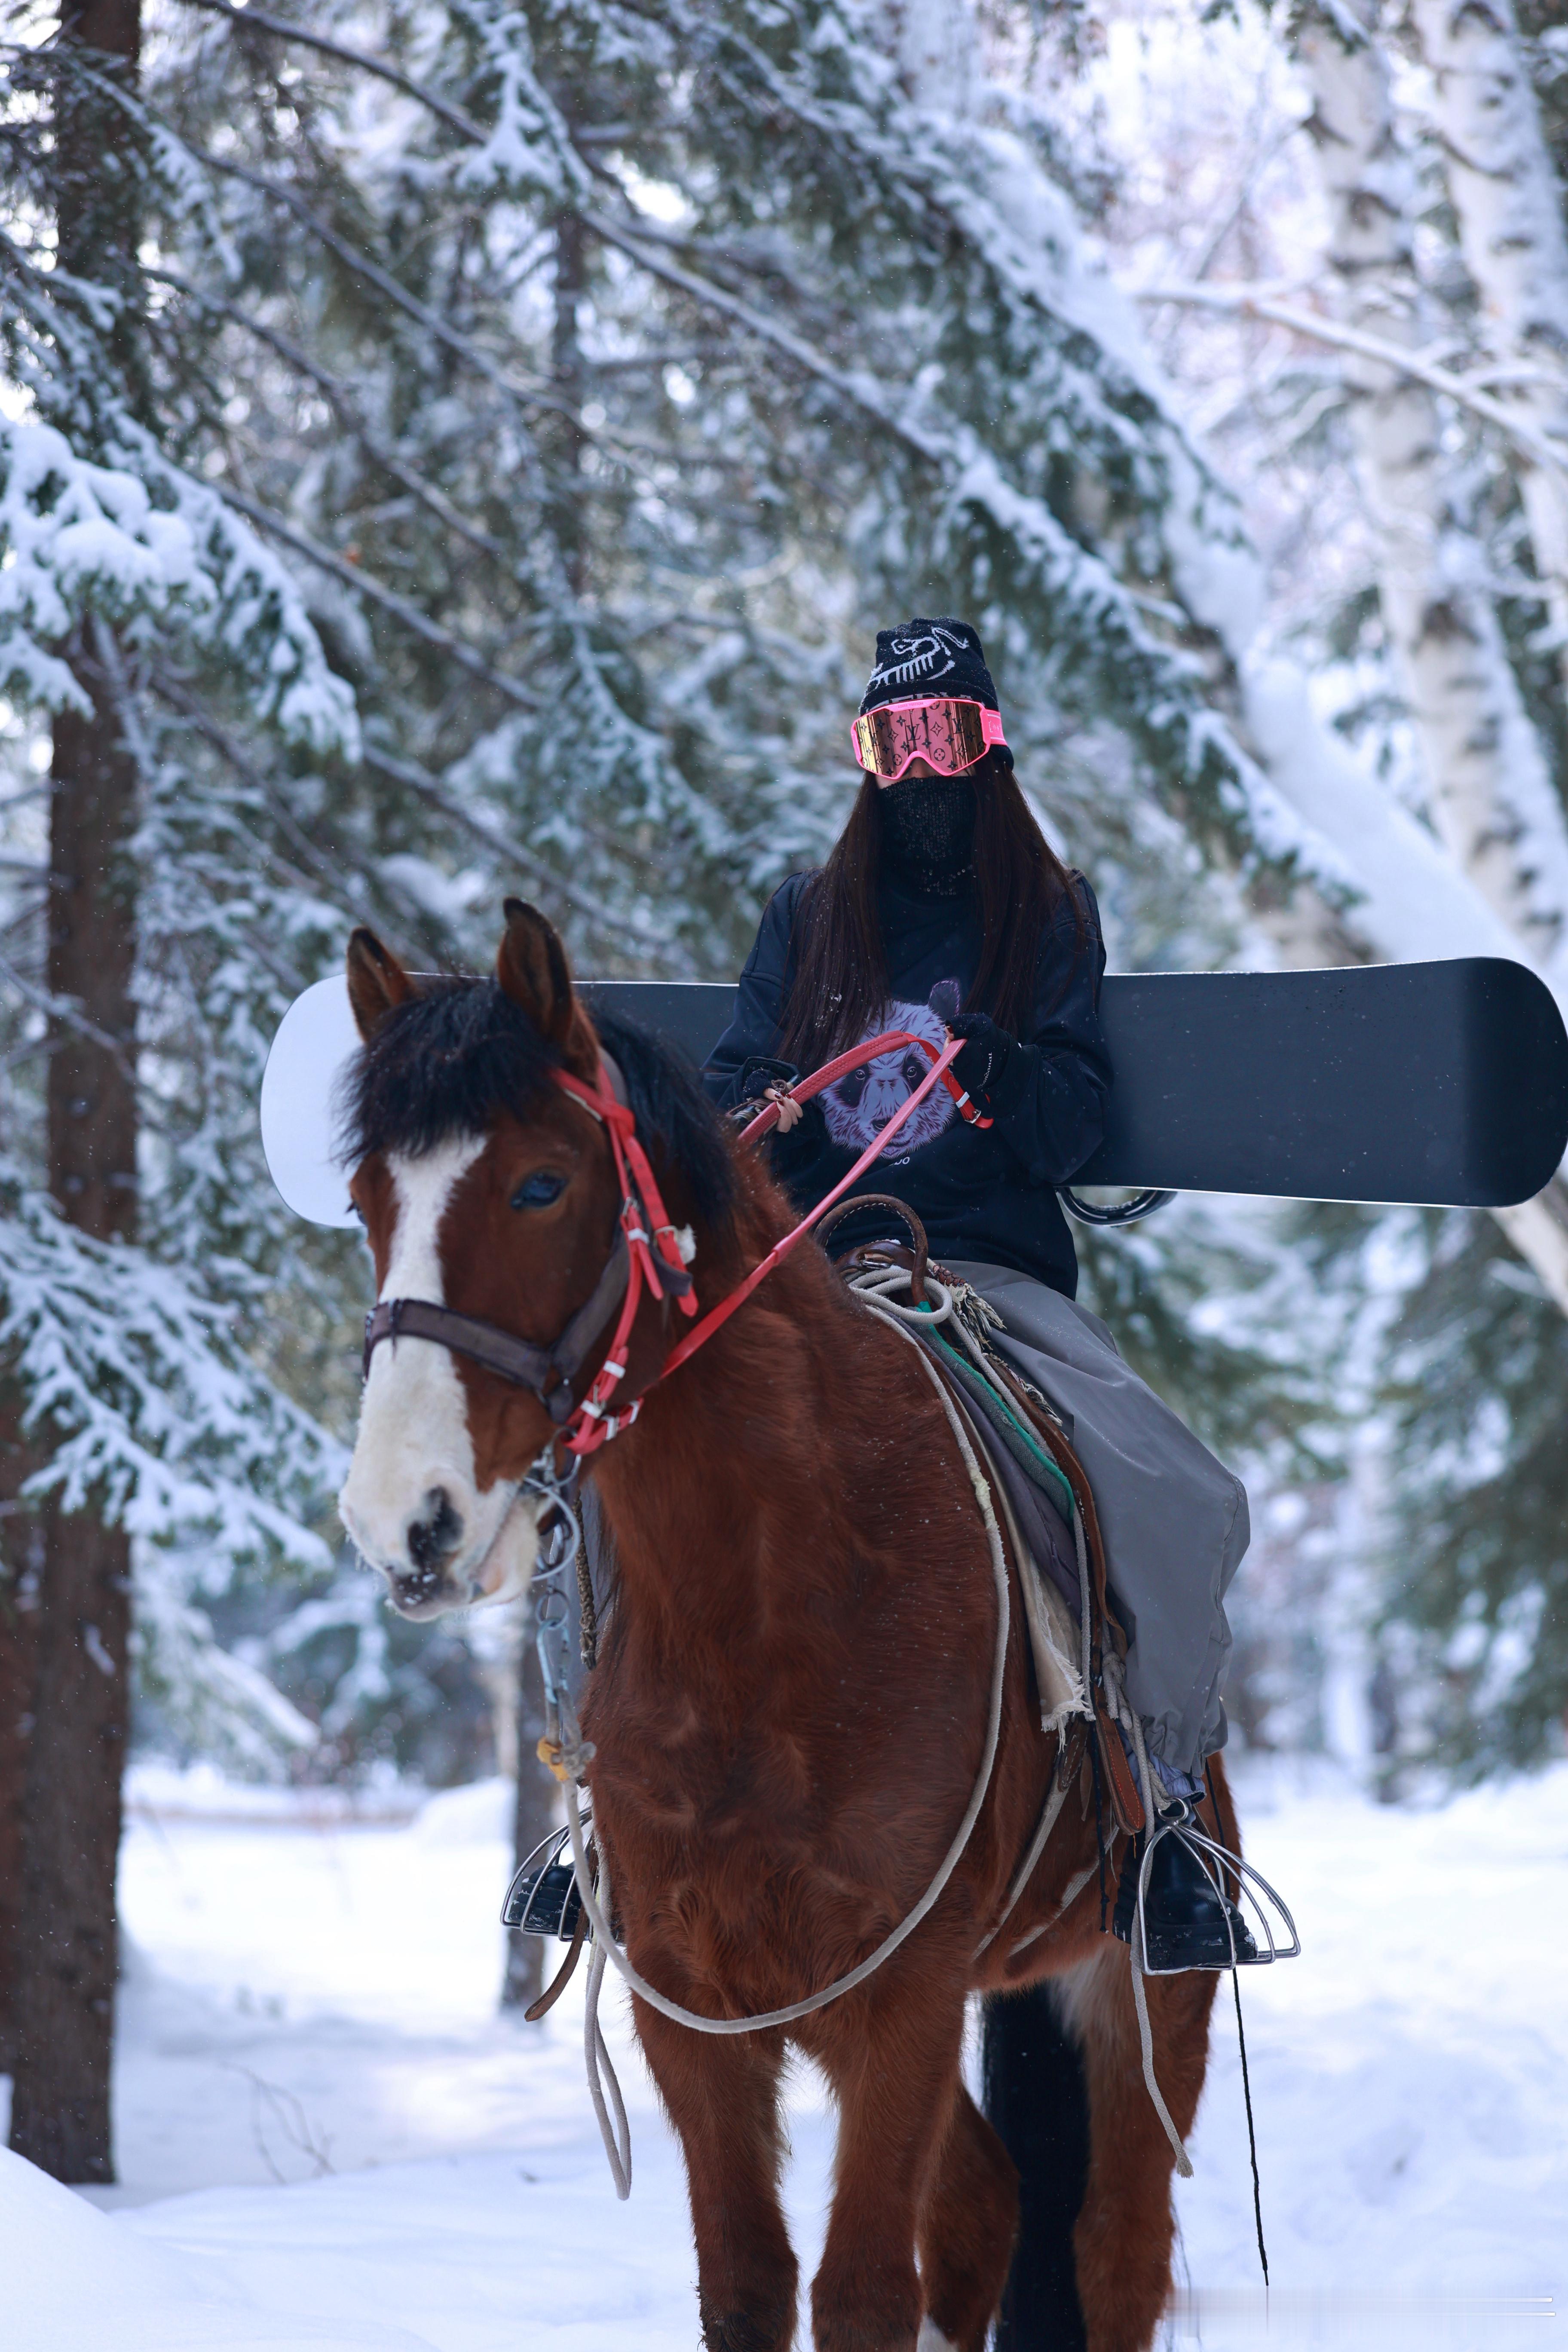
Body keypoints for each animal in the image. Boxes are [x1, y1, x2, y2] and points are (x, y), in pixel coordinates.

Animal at [338, 898, 1222, 2352]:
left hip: (1144, 1989)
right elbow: (749, 2282)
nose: (400, 1517)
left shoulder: (904, 1997)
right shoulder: (695, 2005)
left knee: (1114, 2250)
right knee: (984, 2207)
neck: (767, 1609)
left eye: (540, 1185)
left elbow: (863, 2290)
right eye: (370, 1199)